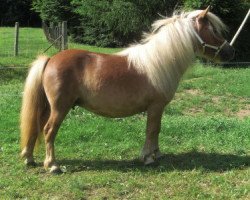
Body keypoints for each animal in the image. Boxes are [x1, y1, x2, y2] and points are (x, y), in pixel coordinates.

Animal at [20, 7, 234, 173]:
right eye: (213, 30)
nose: (230, 52)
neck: (160, 62)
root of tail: (51, 59)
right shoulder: (155, 107)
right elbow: (152, 130)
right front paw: (148, 157)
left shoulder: (158, 109)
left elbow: (156, 130)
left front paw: (157, 154)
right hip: (59, 108)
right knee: (49, 130)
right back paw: (52, 165)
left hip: (48, 107)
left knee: (37, 126)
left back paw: (29, 158)